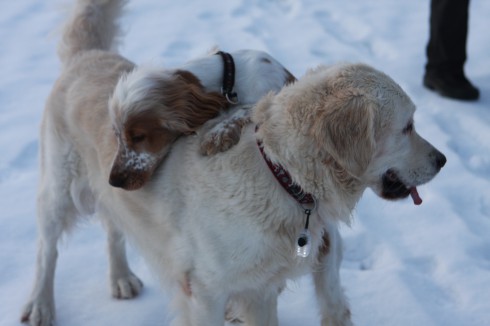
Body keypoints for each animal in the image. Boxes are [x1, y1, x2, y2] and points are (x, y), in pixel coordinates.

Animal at [20, 0, 294, 324]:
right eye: (117, 135)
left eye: (138, 136)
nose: (115, 179)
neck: (231, 77)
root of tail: (86, 54)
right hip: (58, 187)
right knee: (46, 250)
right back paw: (40, 305)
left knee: (114, 226)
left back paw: (121, 278)